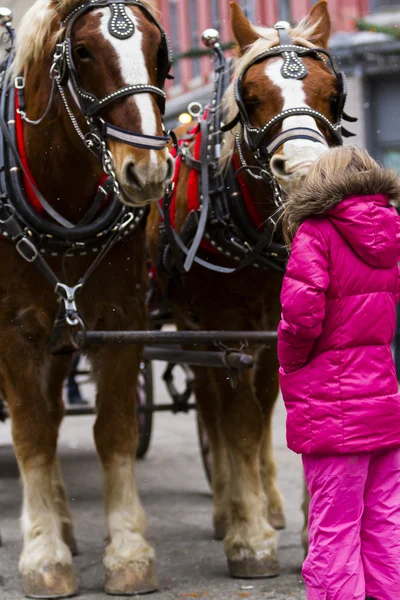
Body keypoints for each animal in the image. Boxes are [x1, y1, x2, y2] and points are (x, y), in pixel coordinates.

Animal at [1, 0, 173, 596]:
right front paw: (42, 556)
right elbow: (29, 434)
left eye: (159, 49)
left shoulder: (121, 320)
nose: (148, 170)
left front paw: (129, 551)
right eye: (82, 52)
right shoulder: (12, 332)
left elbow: (114, 430)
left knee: (55, 413)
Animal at [147, 0, 340, 580]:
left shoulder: (284, 328)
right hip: (192, 329)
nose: (303, 170)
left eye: (332, 94)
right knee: (215, 409)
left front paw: (306, 529)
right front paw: (249, 539)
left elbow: (285, 419)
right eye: (251, 99)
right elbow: (240, 424)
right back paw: (226, 510)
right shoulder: (225, 326)